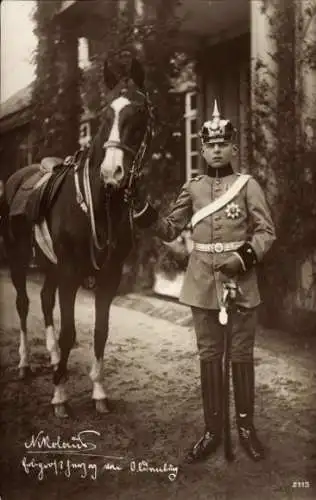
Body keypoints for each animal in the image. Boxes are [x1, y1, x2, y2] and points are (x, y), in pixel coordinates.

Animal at [2, 57, 153, 418]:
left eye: (140, 112)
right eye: (105, 113)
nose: (112, 172)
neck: (99, 204)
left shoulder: (109, 275)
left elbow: (100, 331)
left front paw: (98, 391)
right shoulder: (70, 273)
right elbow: (70, 331)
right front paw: (60, 395)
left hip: (50, 266)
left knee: (44, 300)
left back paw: (54, 359)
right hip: (18, 260)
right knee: (24, 304)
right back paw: (26, 364)